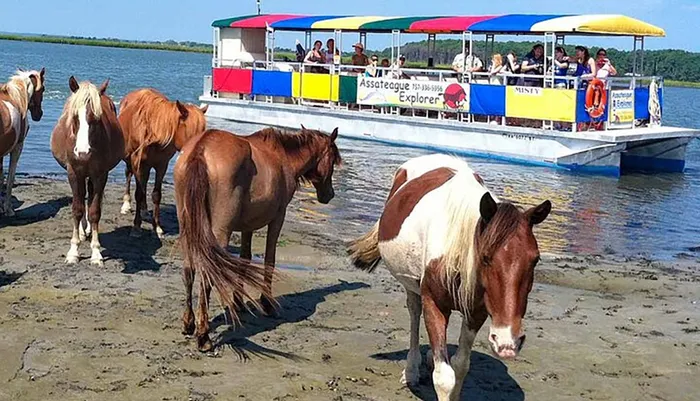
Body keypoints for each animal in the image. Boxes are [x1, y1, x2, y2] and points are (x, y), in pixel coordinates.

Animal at [0, 69, 45, 216]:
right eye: (43, 89)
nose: (39, 114)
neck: (16, 100)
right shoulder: (17, 147)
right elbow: (10, 179)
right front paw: (8, 209)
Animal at [50, 77, 126, 266]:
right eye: (75, 117)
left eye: (97, 118)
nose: (83, 152)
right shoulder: (74, 174)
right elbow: (77, 209)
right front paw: (73, 251)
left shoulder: (100, 175)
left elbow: (94, 210)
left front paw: (96, 252)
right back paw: (83, 232)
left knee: (90, 197)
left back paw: (89, 230)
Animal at [118, 87, 208, 238]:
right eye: (193, 132)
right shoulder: (138, 163)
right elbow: (138, 193)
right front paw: (136, 226)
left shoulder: (162, 165)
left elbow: (156, 195)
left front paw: (157, 227)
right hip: (132, 162)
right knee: (129, 175)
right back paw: (126, 204)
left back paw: (144, 210)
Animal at [174, 125, 340, 350]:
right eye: (332, 160)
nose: (329, 195)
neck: (283, 157)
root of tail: (202, 148)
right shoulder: (278, 218)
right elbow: (270, 259)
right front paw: (267, 303)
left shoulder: (247, 226)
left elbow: (244, 260)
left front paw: (238, 302)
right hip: (219, 233)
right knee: (208, 274)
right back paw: (203, 336)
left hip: (188, 228)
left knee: (189, 270)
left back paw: (189, 323)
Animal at [350, 154, 552, 400]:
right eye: (485, 257)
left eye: (535, 259)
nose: (508, 342)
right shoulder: (434, 305)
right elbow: (444, 378)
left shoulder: (476, 312)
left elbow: (460, 366)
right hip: (412, 287)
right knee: (414, 314)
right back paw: (411, 370)